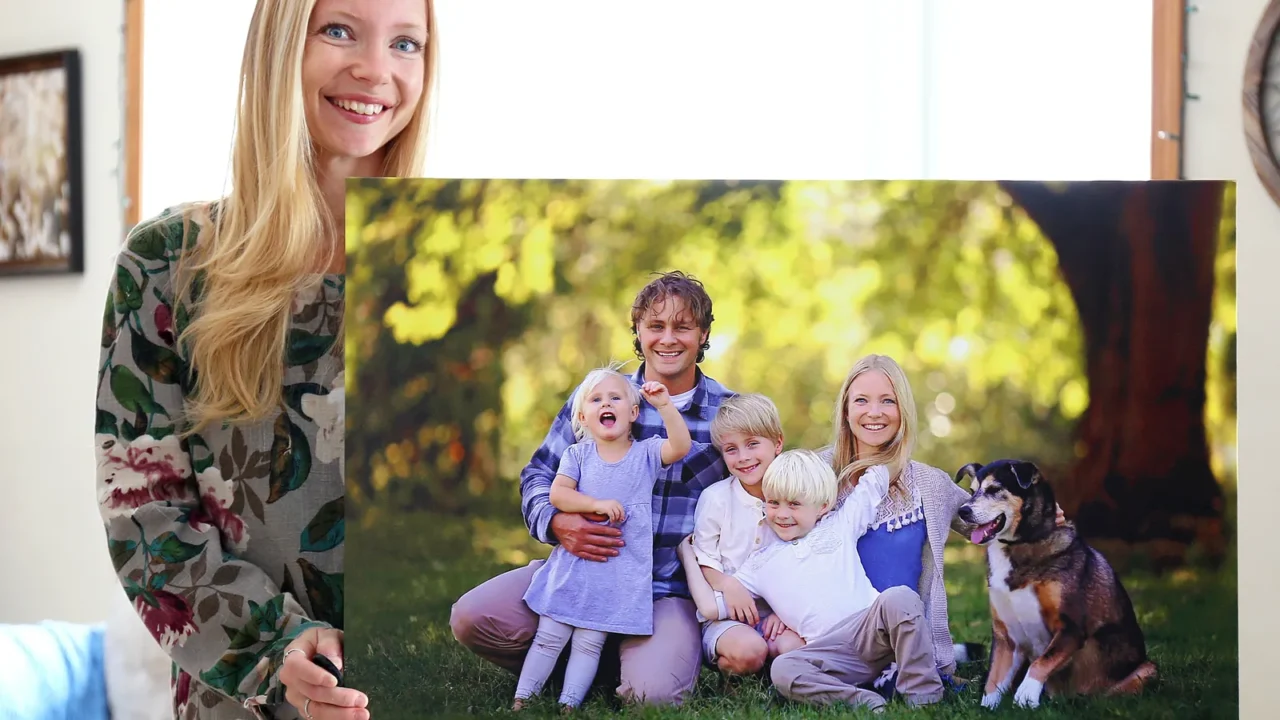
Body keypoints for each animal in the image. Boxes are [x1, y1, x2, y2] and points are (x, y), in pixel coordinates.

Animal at [957, 458, 1157, 707]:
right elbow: (993, 681)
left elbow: (1042, 661)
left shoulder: (1071, 627)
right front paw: (989, 707)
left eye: (994, 489)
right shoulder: (1006, 637)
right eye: (972, 491)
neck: (1022, 543)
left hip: (1147, 670)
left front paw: (1026, 695)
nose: (962, 511)